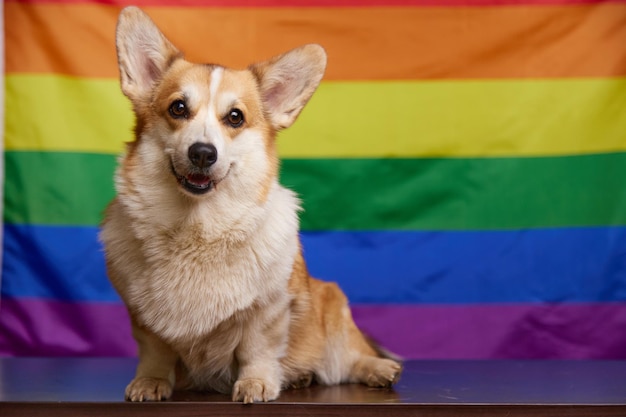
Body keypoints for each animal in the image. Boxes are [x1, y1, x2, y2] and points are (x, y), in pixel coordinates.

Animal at [98, 7, 400, 404]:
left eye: (235, 117)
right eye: (178, 108)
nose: (203, 153)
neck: (197, 227)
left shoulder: (267, 310)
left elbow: (257, 349)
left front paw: (256, 383)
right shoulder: (143, 317)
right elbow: (156, 352)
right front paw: (151, 382)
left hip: (332, 309)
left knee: (349, 359)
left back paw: (377, 369)